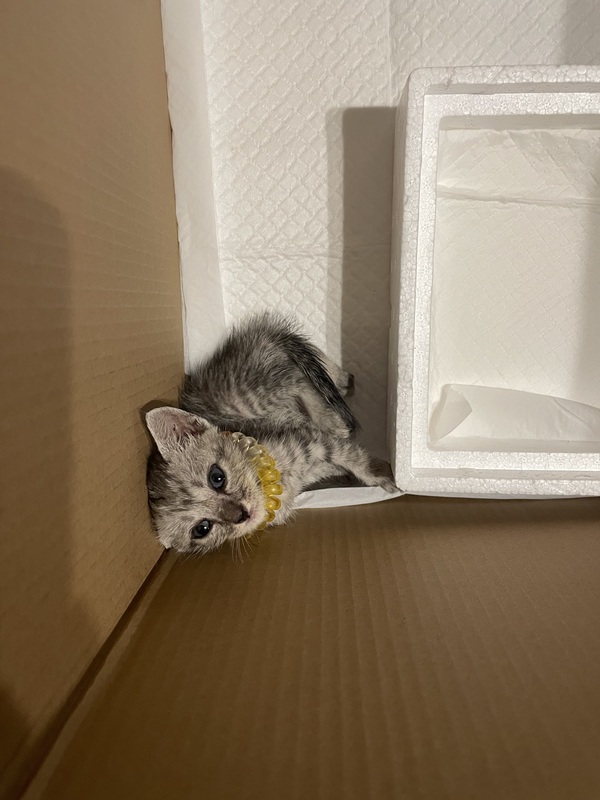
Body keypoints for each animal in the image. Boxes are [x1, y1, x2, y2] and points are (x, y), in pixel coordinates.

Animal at [145, 312, 396, 555]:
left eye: (217, 477)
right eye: (202, 528)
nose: (241, 514)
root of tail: (257, 338)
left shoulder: (310, 439)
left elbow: (354, 458)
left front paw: (381, 475)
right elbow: (341, 462)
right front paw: (350, 476)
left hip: (257, 393)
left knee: (300, 379)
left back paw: (333, 415)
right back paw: (342, 380)